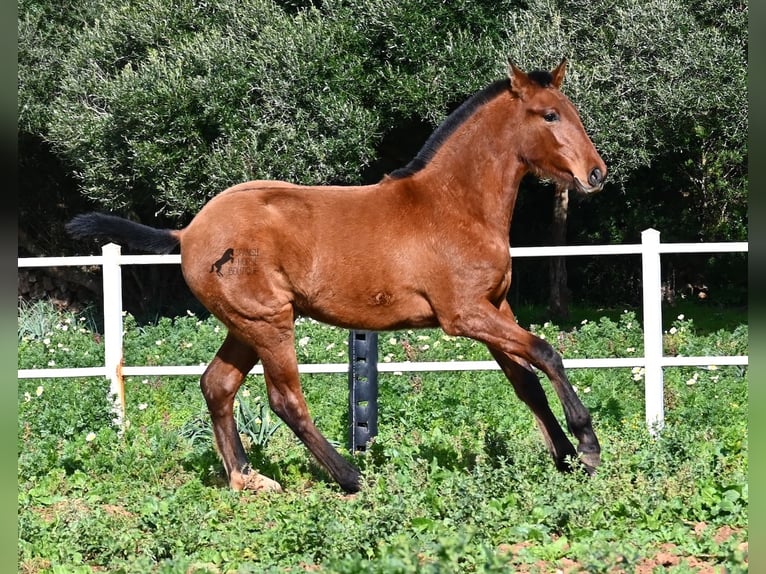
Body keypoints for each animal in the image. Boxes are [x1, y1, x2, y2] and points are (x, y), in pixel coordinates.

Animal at [67, 58, 608, 496]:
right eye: (550, 115)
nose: (597, 174)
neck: (454, 205)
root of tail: (187, 232)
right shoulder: (465, 315)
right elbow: (547, 352)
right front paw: (587, 444)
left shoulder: (495, 307)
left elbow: (526, 381)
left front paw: (565, 458)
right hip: (268, 323)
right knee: (285, 400)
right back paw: (349, 477)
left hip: (246, 326)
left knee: (217, 385)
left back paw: (247, 479)